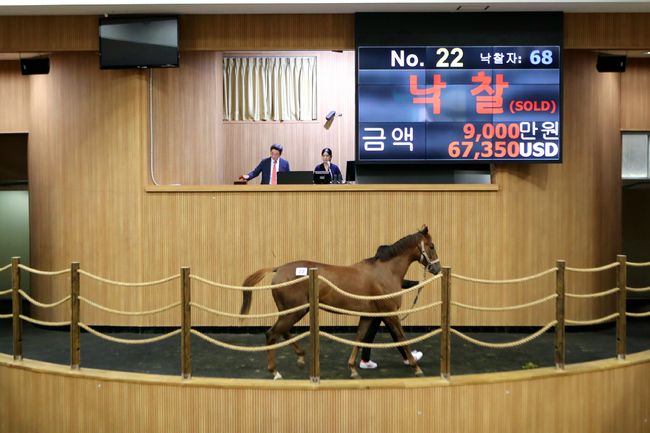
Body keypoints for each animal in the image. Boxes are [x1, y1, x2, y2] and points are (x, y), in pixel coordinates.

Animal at [239, 224, 440, 376]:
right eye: (431, 246)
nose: (437, 269)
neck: (385, 272)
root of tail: (278, 269)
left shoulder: (368, 315)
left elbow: (360, 337)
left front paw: (352, 368)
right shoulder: (389, 314)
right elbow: (401, 337)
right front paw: (416, 366)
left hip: (293, 311)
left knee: (283, 332)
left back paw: (301, 356)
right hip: (294, 311)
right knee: (272, 334)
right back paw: (275, 372)